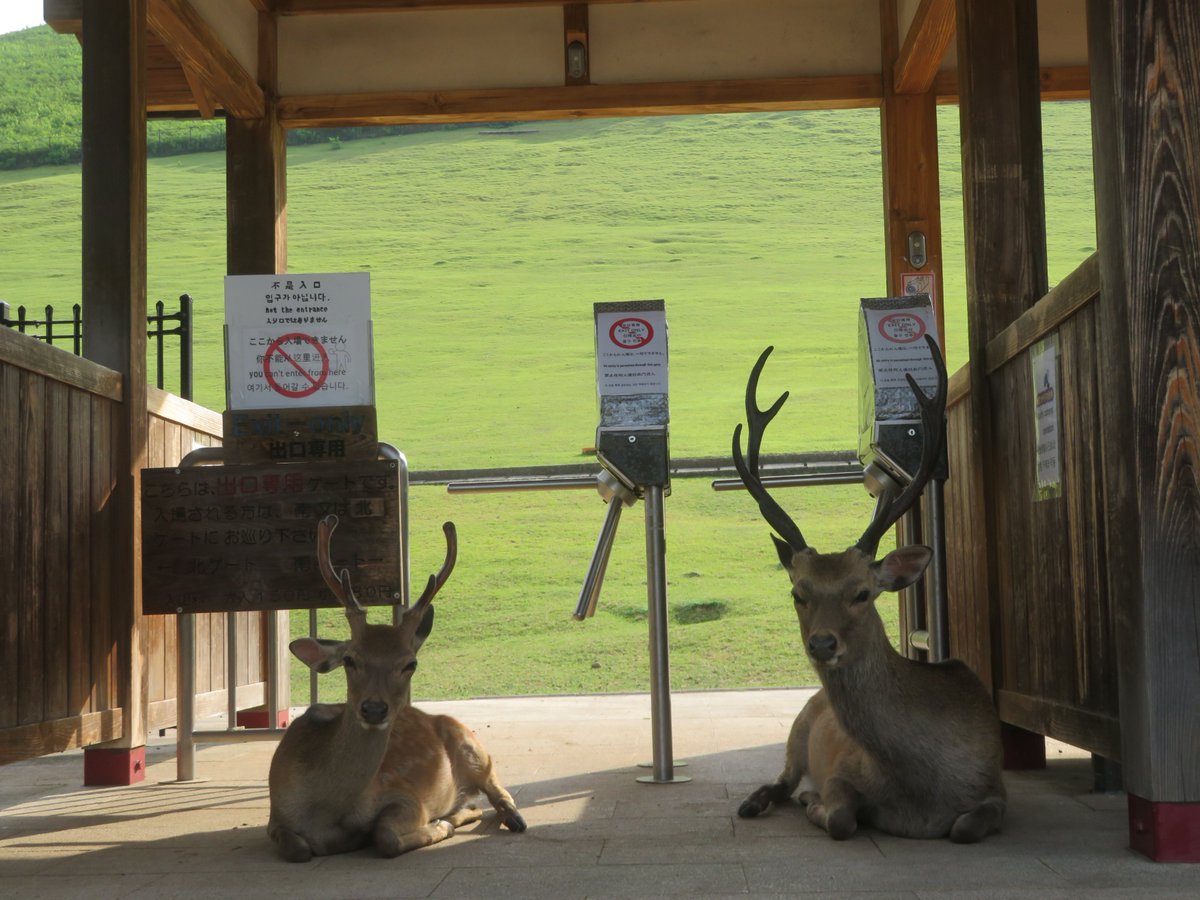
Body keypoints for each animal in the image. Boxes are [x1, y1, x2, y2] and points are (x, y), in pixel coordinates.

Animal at [267, 514, 527, 862]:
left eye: (410, 663)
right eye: (350, 659)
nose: (374, 709)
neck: (324, 812)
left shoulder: (405, 793)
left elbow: (385, 836)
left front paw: (438, 827)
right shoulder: (275, 814)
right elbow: (298, 848)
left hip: (472, 744)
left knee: (496, 786)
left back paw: (505, 817)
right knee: (474, 801)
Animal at [732, 335, 1006, 843]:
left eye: (862, 593)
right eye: (798, 593)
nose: (822, 644)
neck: (921, 789)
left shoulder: (996, 787)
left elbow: (966, 828)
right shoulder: (842, 768)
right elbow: (842, 819)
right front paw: (814, 802)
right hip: (797, 728)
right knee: (780, 778)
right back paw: (757, 801)